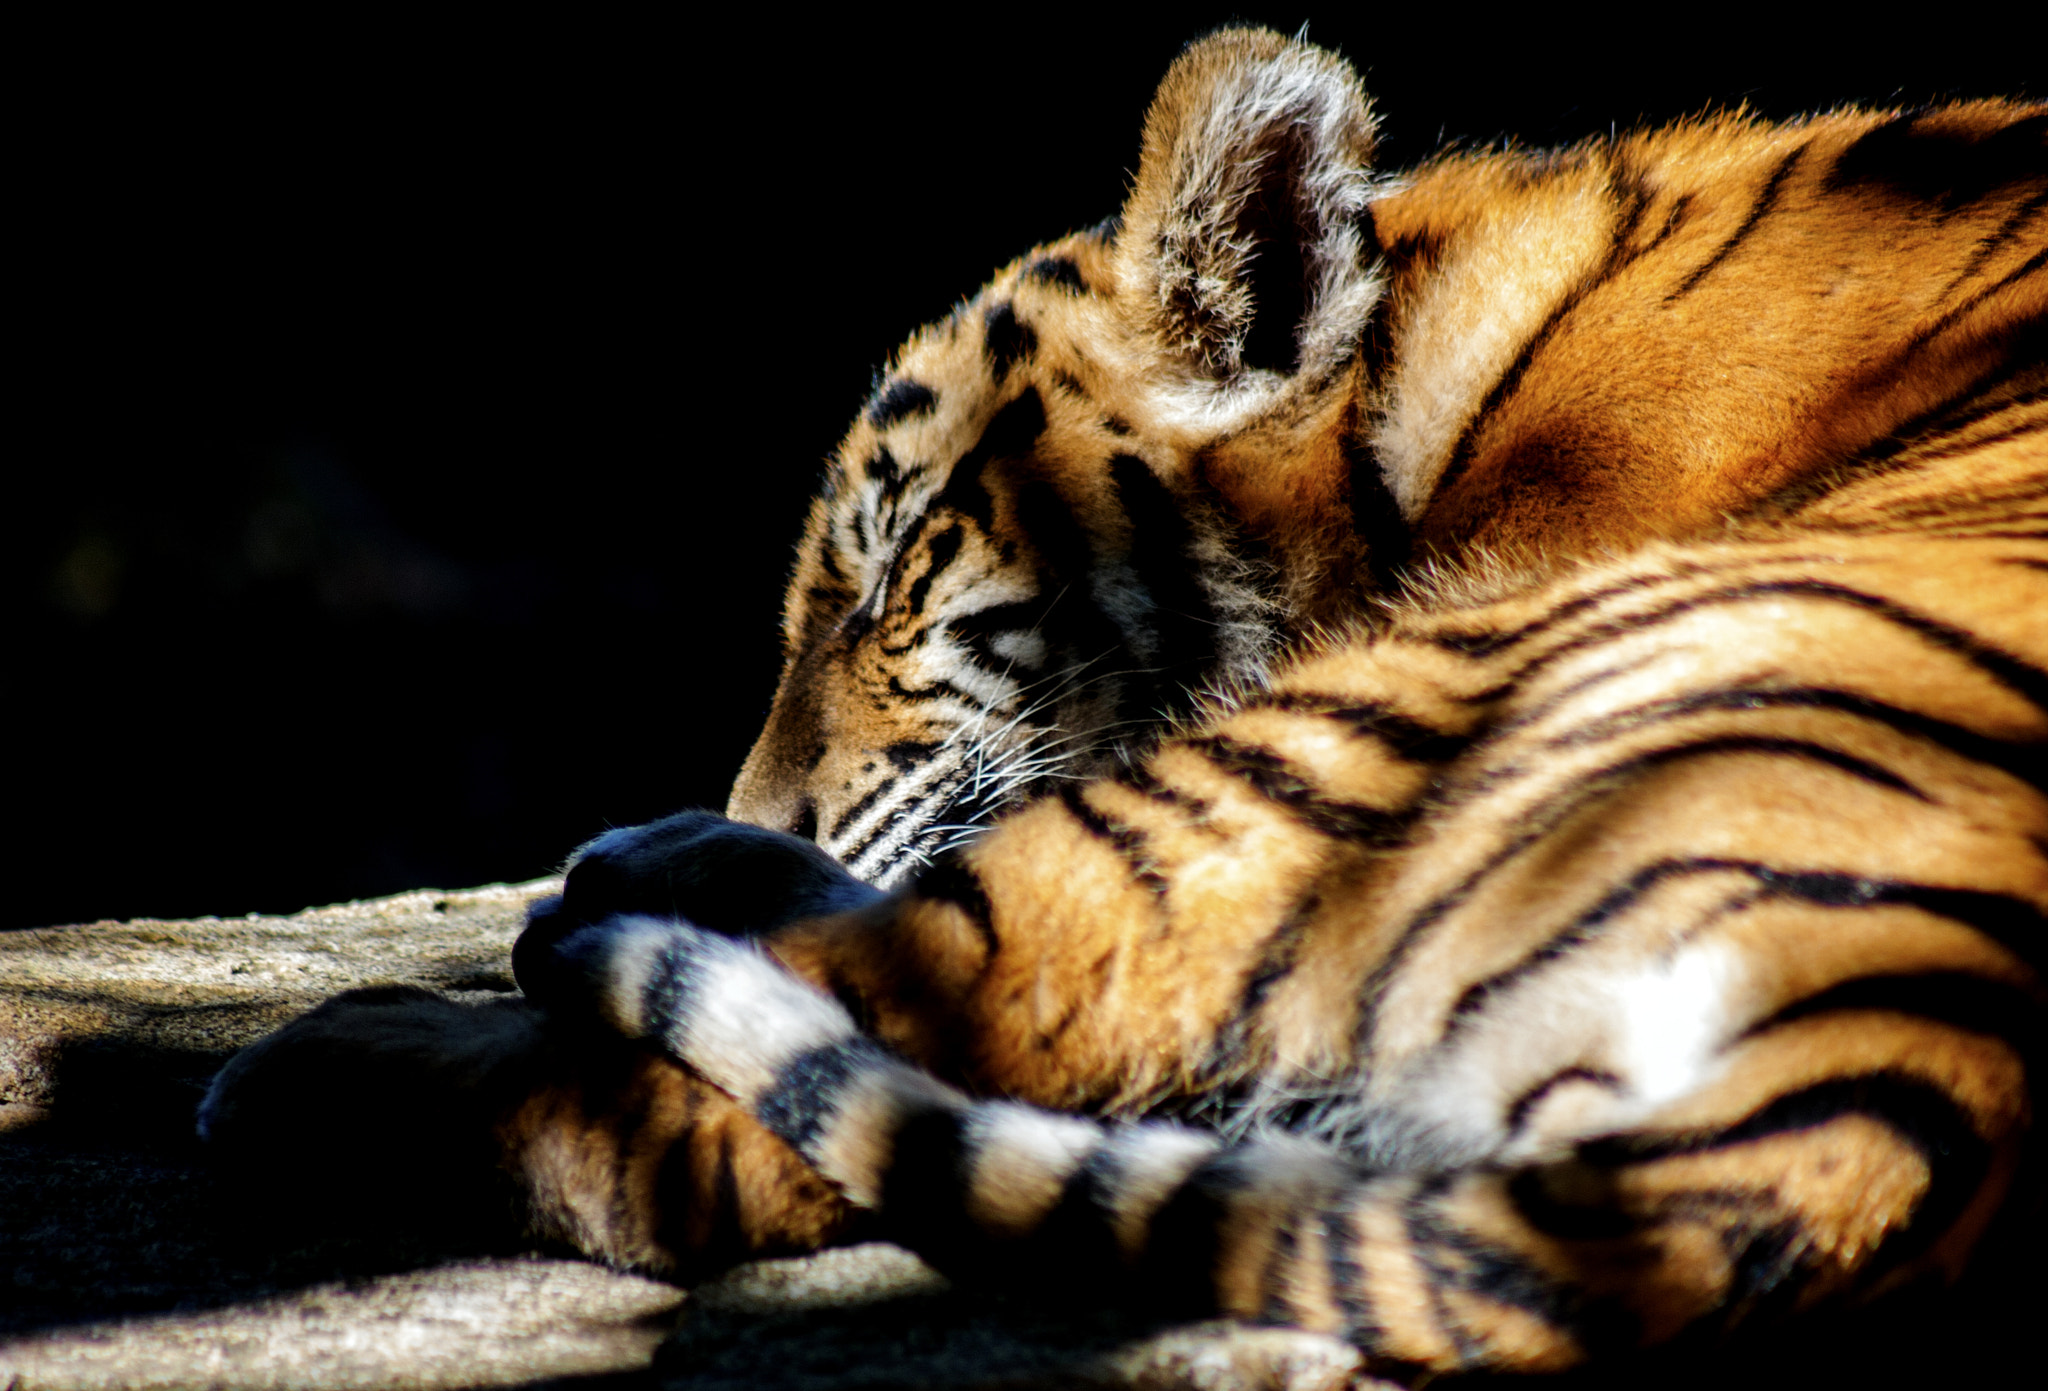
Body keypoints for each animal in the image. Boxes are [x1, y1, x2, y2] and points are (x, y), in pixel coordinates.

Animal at [195, 27, 2048, 1376]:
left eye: (893, 568)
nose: (760, 797)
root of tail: (1891, 1066)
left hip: (1366, 736)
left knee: (803, 1063)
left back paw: (323, 1072)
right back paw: (625, 872)